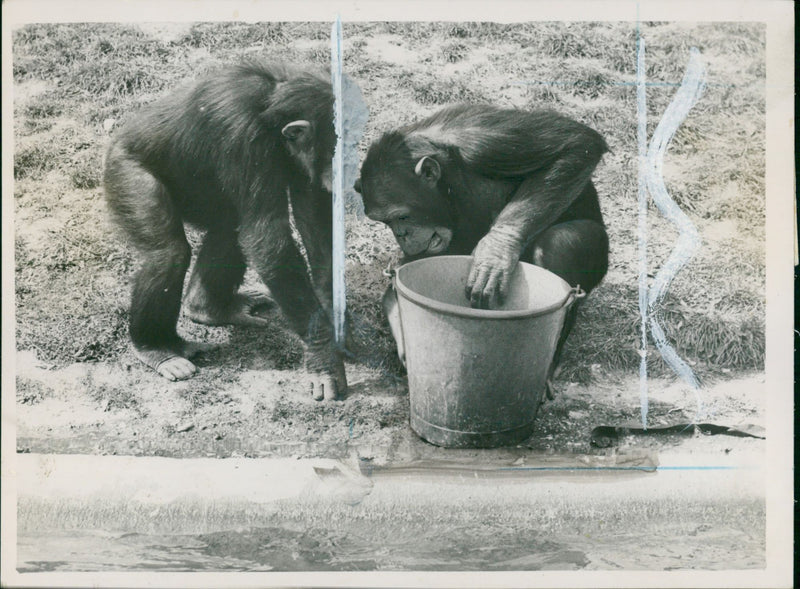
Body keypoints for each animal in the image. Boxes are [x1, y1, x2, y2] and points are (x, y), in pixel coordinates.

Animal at [104, 59, 346, 400]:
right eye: (335, 144)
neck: (270, 107)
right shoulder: (242, 135)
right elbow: (268, 239)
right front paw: (323, 355)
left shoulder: (301, 161)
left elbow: (312, 219)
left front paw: (333, 315)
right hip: (125, 173)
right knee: (167, 255)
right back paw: (156, 348)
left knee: (229, 227)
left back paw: (207, 308)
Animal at [354, 104, 608, 396]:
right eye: (386, 222)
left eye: (402, 217)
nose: (401, 234)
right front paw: (407, 341)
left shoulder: (485, 139)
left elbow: (575, 142)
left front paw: (495, 252)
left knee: (561, 242)